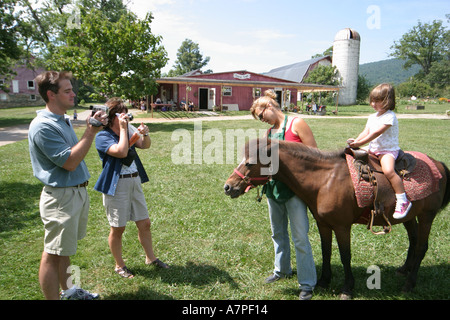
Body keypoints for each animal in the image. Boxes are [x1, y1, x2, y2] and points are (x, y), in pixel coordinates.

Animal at [223, 138, 448, 300]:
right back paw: (404, 270)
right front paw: (323, 281)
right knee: (414, 241)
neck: (325, 180)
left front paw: (347, 288)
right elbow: (326, 252)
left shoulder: (341, 227)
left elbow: (345, 255)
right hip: (410, 216)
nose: (228, 187)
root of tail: (438, 165)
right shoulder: (323, 224)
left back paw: (409, 283)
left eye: (250, 163)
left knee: (421, 247)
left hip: (426, 217)